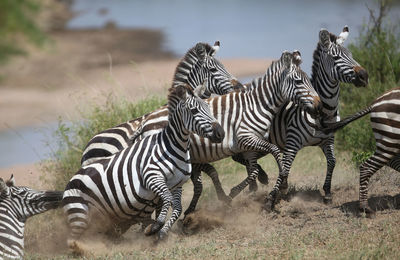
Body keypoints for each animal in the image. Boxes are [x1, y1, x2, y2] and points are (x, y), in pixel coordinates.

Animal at [62, 83, 225, 244]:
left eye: (208, 107)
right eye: (194, 110)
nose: (221, 133)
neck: (174, 146)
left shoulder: (177, 184)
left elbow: (177, 207)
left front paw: (163, 232)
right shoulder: (152, 177)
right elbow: (167, 199)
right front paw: (156, 226)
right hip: (82, 212)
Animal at [130, 50, 324, 215]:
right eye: (299, 82)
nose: (319, 106)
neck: (257, 105)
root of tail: (144, 122)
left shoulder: (249, 146)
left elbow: (253, 171)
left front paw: (236, 193)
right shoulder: (245, 138)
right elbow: (275, 152)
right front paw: (281, 182)